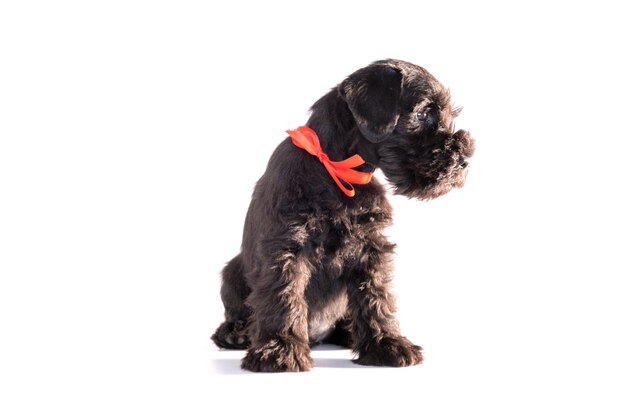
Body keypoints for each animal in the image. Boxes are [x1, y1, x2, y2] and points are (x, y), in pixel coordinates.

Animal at [210, 57, 472, 370]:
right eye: (422, 114)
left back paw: (349, 332)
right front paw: (279, 351)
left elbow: (376, 297)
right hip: (231, 272)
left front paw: (387, 344)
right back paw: (235, 333)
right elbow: (283, 296)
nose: (465, 160)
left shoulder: (370, 248)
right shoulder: (285, 247)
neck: (335, 169)